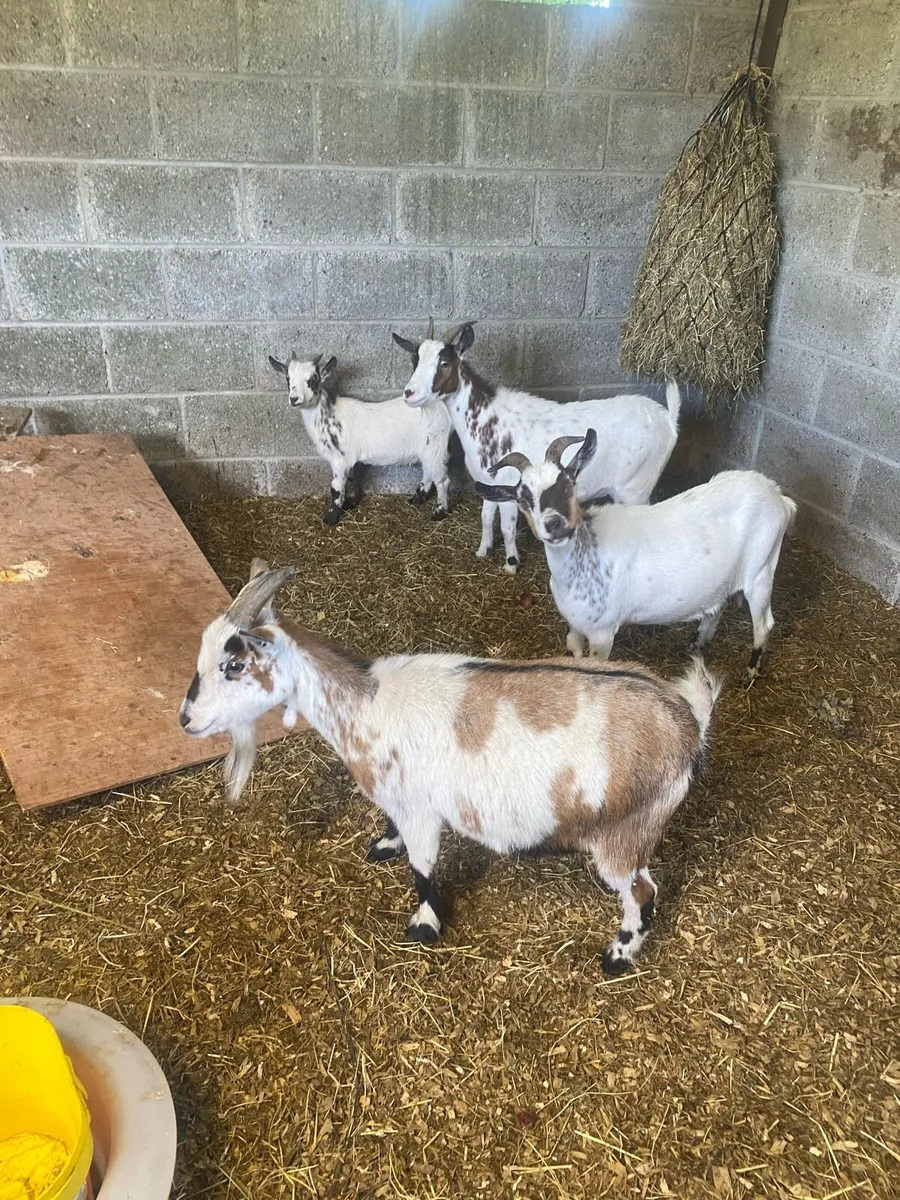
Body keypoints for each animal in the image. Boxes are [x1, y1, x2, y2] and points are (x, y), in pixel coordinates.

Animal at [179, 560, 721, 975]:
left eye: (233, 664)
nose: (186, 720)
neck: (365, 704)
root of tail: (686, 720)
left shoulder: (420, 809)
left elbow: (422, 871)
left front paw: (424, 926)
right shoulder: (399, 800)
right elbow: (394, 831)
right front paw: (384, 845)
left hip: (624, 836)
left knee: (644, 892)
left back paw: (618, 955)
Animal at [269, 352, 453, 524]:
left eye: (313, 379)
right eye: (288, 378)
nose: (294, 399)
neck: (328, 414)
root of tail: (442, 406)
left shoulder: (339, 459)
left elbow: (336, 488)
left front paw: (331, 518)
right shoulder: (348, 459)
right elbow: (350, 479)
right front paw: (349, 503)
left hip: (436, 445)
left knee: (442, 480)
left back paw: (439, 512)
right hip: (428, 448)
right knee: (428, 472)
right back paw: (417, 499)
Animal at [392, 321, 680, 573]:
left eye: (444, 362)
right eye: (414, 360)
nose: (409, 393)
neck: (488, 419)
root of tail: (668, 419)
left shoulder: (510, 486)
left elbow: (507, 528)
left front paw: (511, 564)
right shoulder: (487, 484)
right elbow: (486, 519)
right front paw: (483, 550)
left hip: (636, 489)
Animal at [476, 431, 797, 681]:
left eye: (569, 482)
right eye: (522, 498)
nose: (553, 523)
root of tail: (779, 496)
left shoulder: (603, 632)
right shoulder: (576, 625)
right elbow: (573, 650)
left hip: (761, 570)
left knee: (764, 623)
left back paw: (751, 672)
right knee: (718, 605)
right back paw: (697, 645)